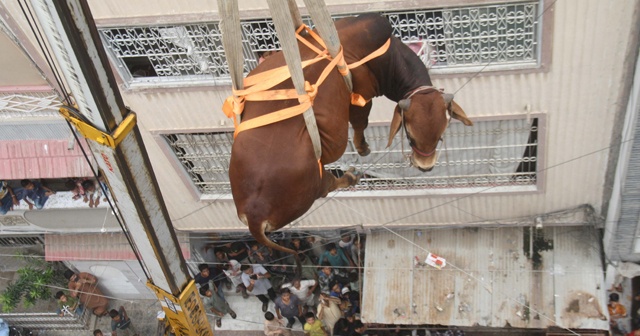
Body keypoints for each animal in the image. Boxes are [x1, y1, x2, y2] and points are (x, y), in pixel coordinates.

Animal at [228, 14, 472, 268]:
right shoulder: (361, 95)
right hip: (312, 186)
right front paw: (362, 147)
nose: (426, 167)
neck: (389, 54)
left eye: (440, 136)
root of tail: (254, 214)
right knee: (328, 186)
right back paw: (350, 177)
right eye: (410, 137)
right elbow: (360, 122)